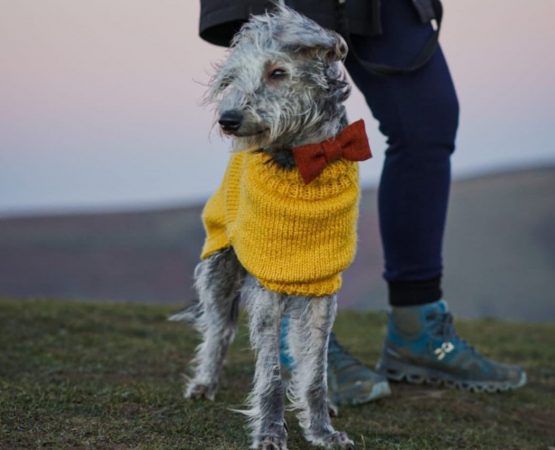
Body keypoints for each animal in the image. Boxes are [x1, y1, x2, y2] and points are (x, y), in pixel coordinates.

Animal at [169, 4, 358, 450]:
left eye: (278, 71)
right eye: (232, 77)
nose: (228, 119)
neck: (303, 164)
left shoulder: (324, 287)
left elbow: (315, 370)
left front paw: (321, 428)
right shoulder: (267, 289)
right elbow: (269, 375)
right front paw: (271, 431)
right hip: (218, 268)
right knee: (218, 329)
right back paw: (204, 382)